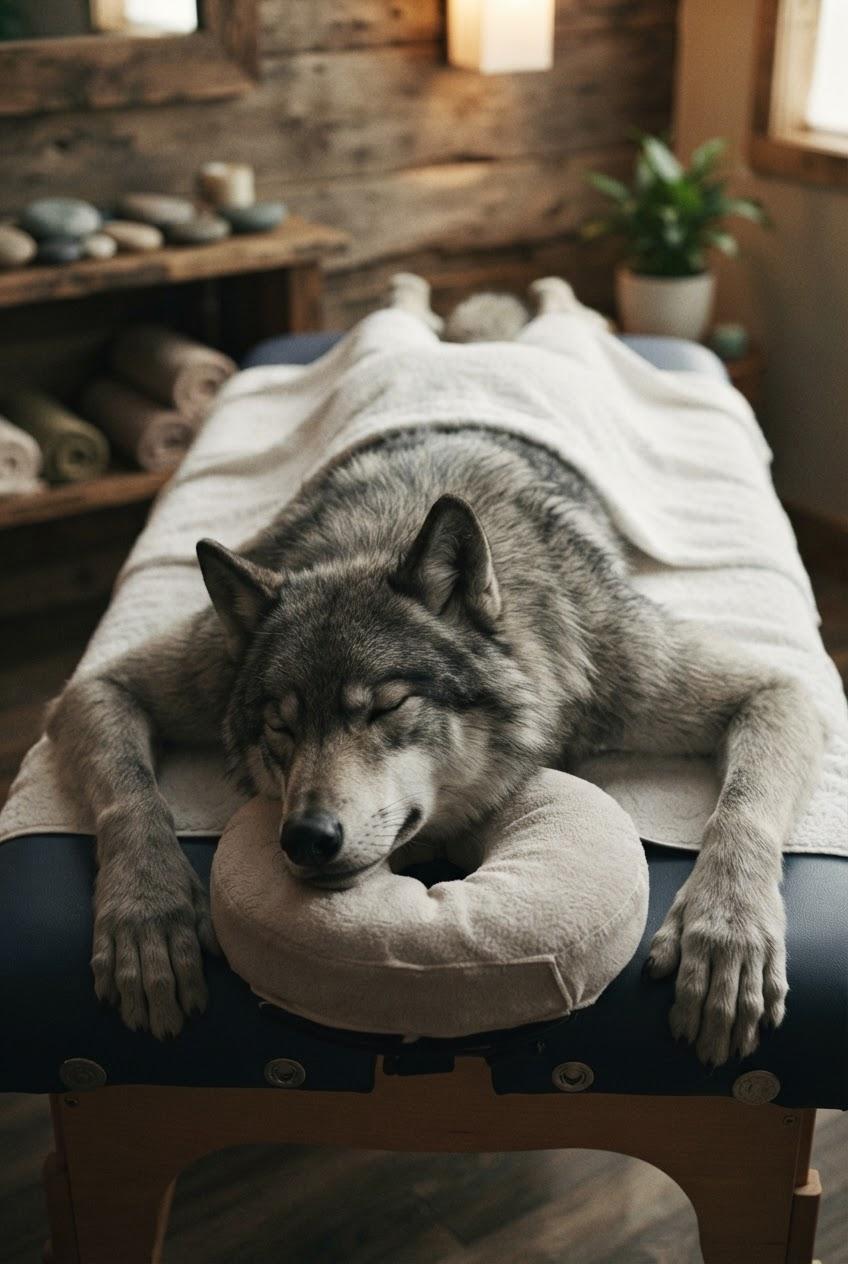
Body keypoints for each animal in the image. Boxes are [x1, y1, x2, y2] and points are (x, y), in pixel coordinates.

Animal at [47, 382, 823, 1069]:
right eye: (280, 728)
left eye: (386, 706)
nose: (305, 838)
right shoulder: (104, 688)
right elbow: (134, 802)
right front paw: (149, 917)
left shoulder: (758, 688)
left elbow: (742, 812)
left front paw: (725, 936)